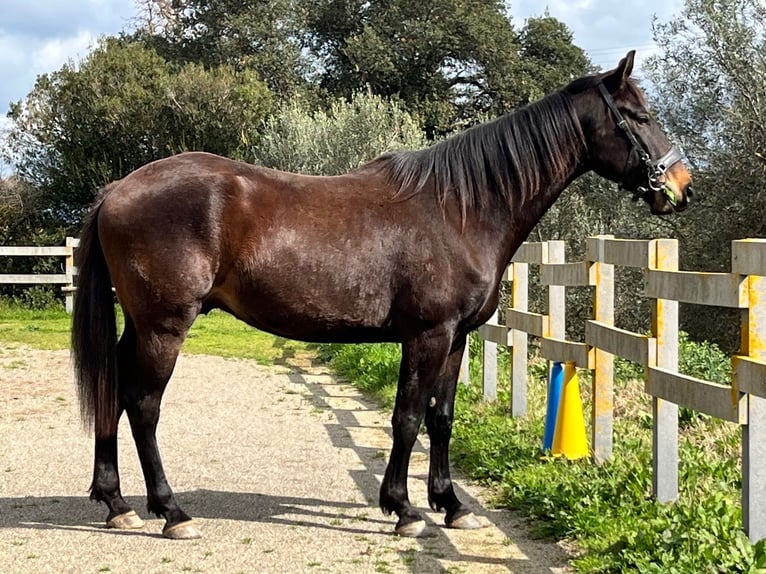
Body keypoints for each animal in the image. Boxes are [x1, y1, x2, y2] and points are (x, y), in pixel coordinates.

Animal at [71, 50, 692, 540]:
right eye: (638, 116)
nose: (682, 186)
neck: (461, 208)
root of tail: (117, 189)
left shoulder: (456, 339)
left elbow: (441, 418)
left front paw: (451, 504)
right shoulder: (427, 335)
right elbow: (408, 418)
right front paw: (404, 509)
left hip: (141, 325)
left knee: (112, 391)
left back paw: (117, 503)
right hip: (165, 326)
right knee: (143, 405)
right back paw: (171, 511)